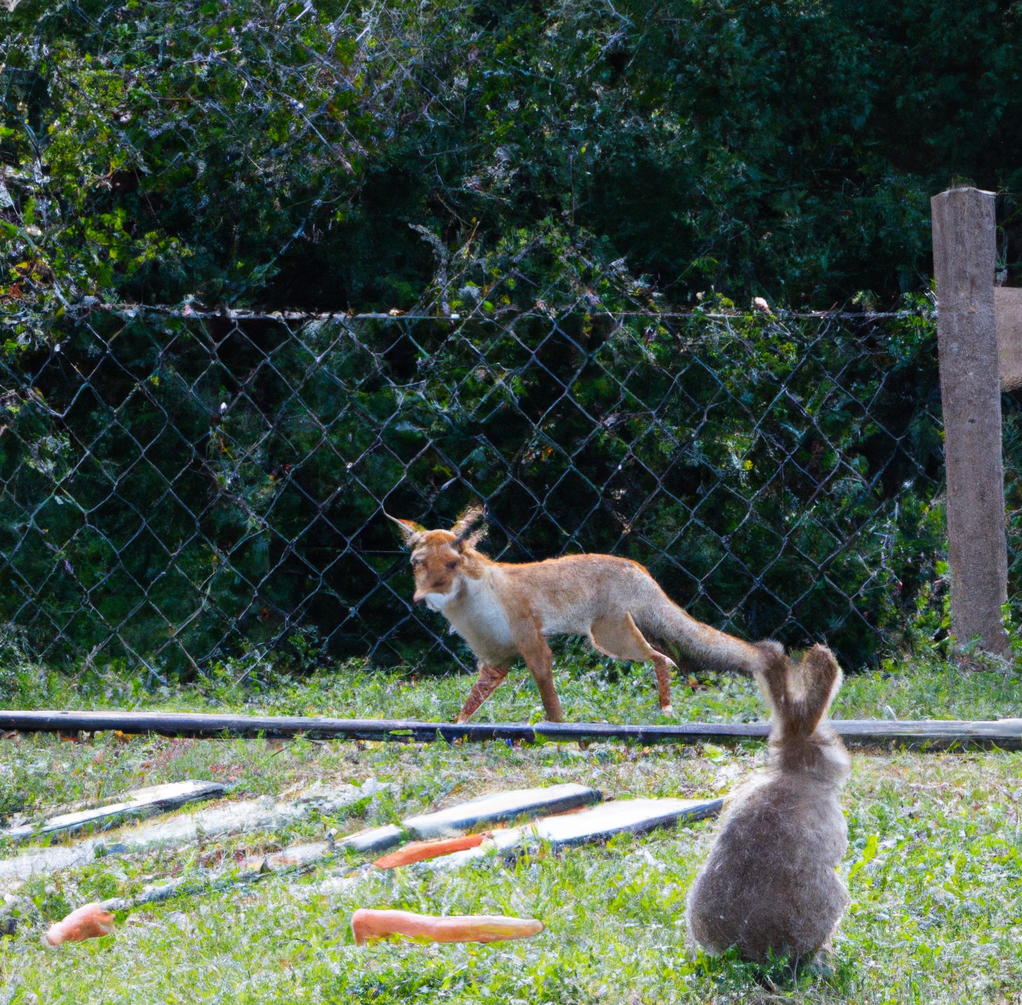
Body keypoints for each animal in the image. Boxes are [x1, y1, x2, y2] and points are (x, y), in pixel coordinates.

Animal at [386, 511, 793, 723]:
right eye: (417, 564)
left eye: (451, 565)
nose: (423, 597)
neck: (476, 606)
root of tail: (636, 566)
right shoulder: (494, 662)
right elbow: (466, 710)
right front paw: (455, 731)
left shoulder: (534, 646)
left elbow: (551, 705)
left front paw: (559, 734)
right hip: (619, 638)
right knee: (671, 656)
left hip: (612, 640)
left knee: (663, 659)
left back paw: (665, 708)